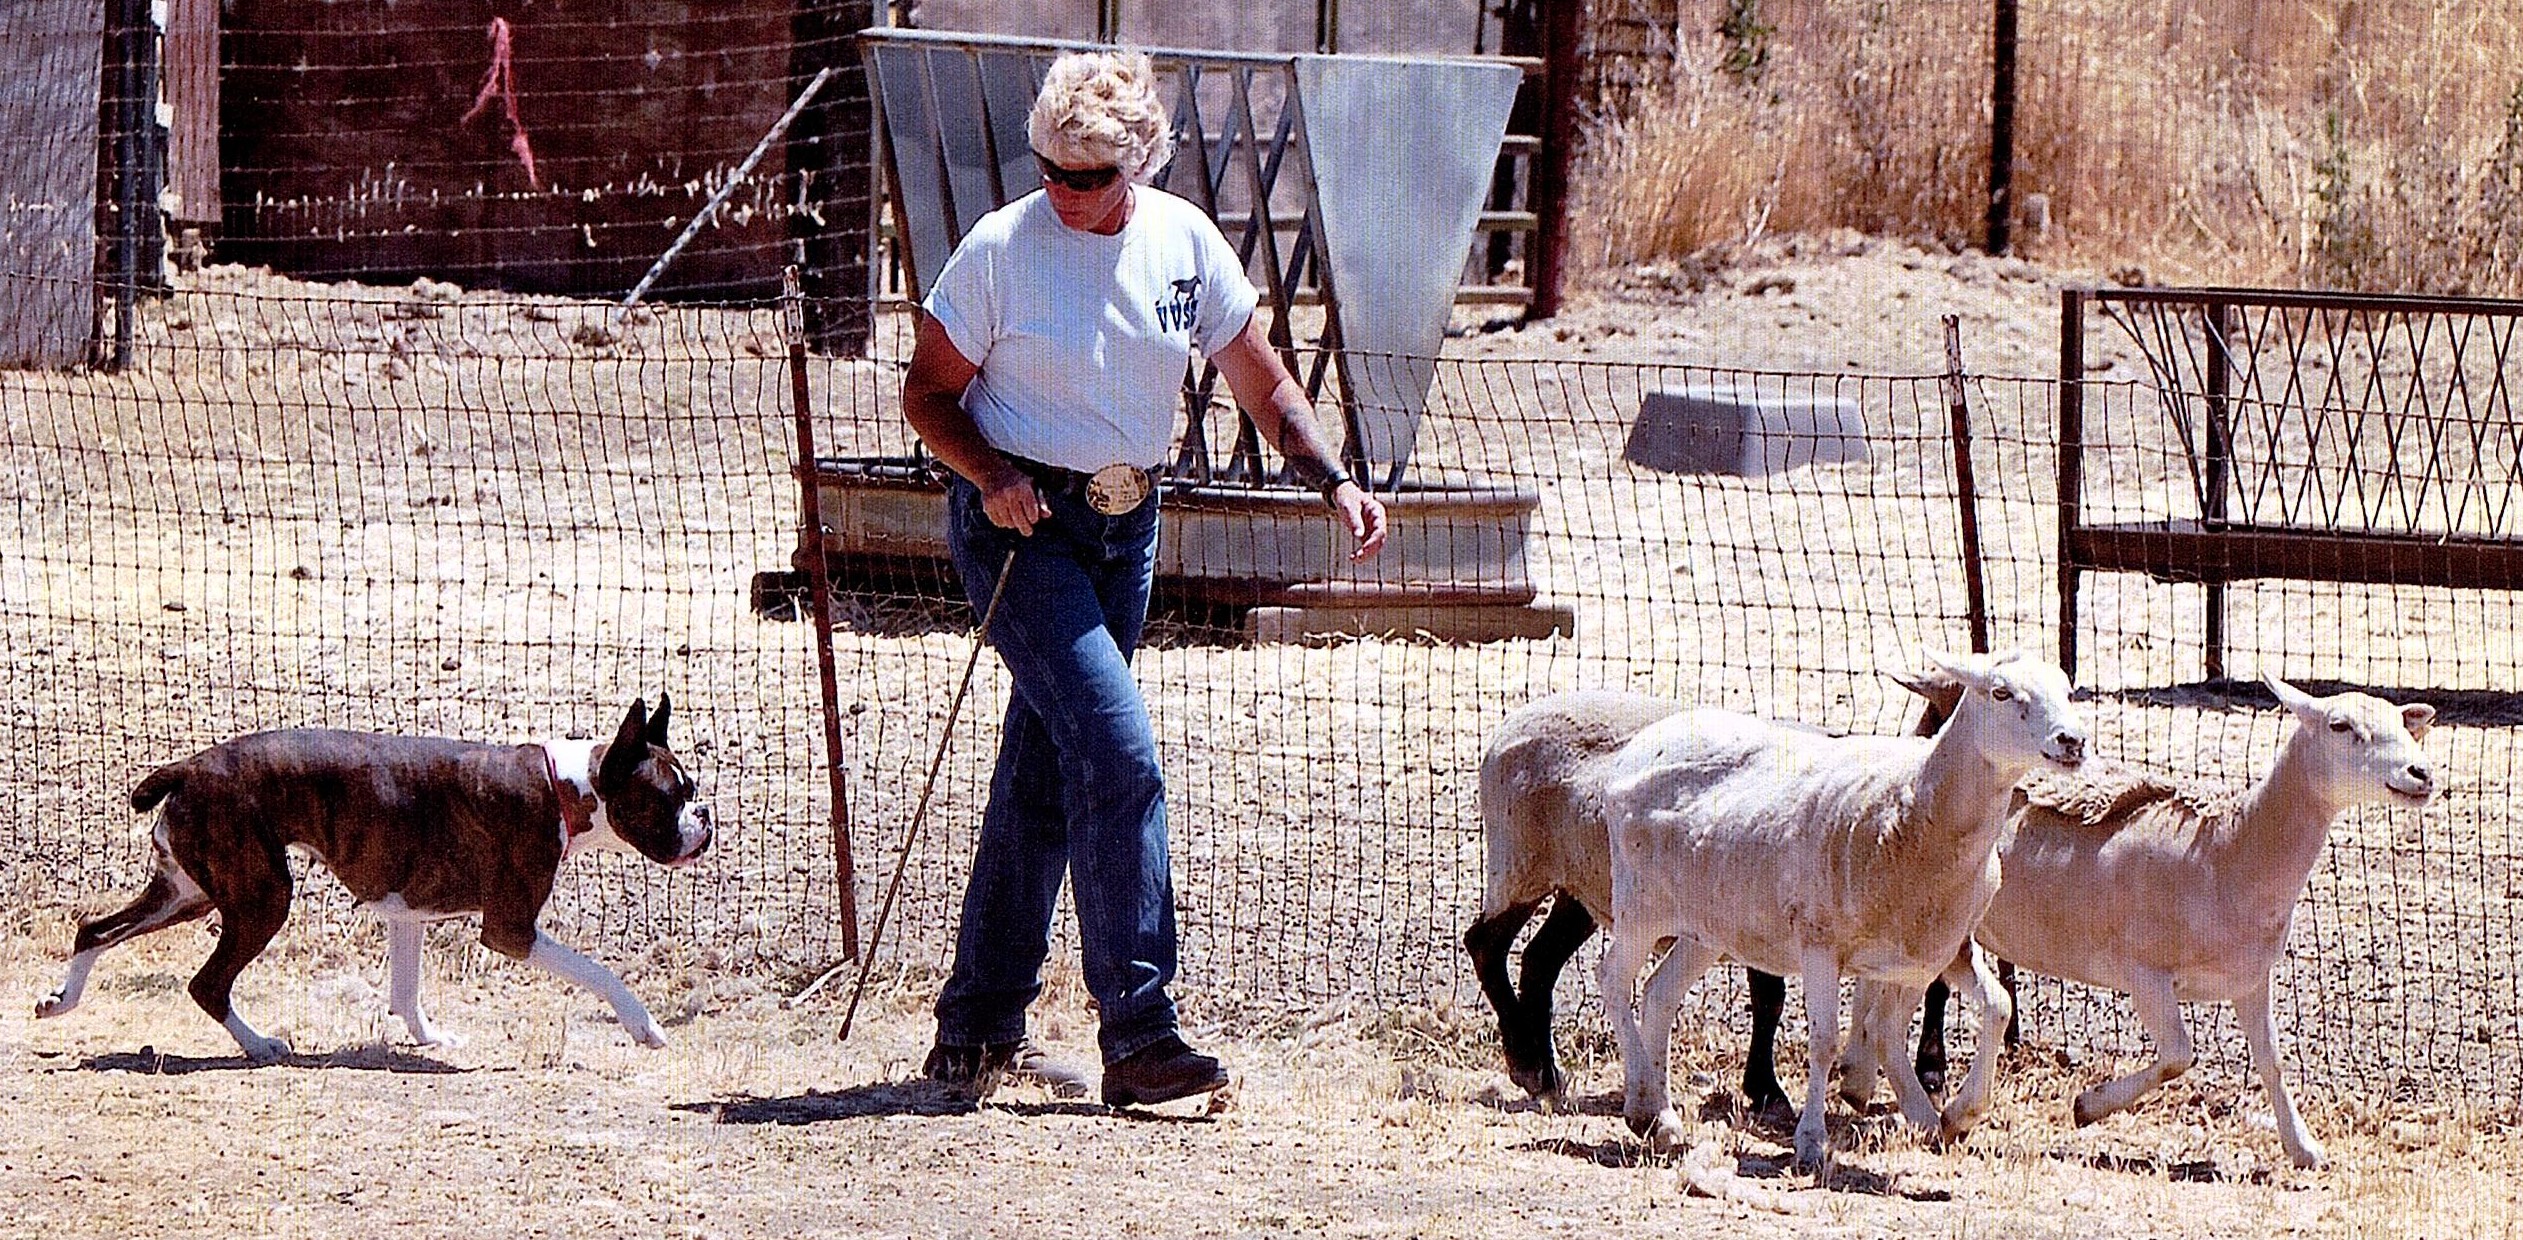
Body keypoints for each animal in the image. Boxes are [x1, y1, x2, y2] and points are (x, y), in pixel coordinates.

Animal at [32, 691, 711, 1060]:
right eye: (669, 797)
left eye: (692, 791)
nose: (706, 816)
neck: (566, 786)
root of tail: (192, 766)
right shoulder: (511, 930)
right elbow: (600, 973)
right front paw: (645, 1026)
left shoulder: (408, 914)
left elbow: (407, 991)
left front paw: (429, 1039)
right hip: (261, 896)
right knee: (207, 984)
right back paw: (261, 1046)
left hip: (187, 892)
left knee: (94, 929)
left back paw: (60, 1002)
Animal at [1594, 651, 2089, 1166]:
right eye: (2000, 692)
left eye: (2067, 690)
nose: (2073, 741)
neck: (1913, 809)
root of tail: (1644, 742)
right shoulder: (1820, 943)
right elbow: (1827, 1039)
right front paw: (1812, 1139)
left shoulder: (1938, 950)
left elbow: (1993, 1007)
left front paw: (1955, 1115)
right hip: (1639, 903)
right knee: (1613, 979)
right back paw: (1649, 1108)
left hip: (1707, 926)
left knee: (1658, 993)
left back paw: (1656, 1117)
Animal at [1836, 676, 2442, 1171]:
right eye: (2341, 726)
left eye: (2403, 726)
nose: (2421, 772)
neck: (2228, 855)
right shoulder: (2142, 972)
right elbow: (2178, 1055)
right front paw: (2087, 1106)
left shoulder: (2250, 978)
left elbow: (2271, 1062)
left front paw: (2304, 1148)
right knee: (1891, 1017)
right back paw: (1931, 1110)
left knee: (1879, 1006)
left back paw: (1862, 1085)